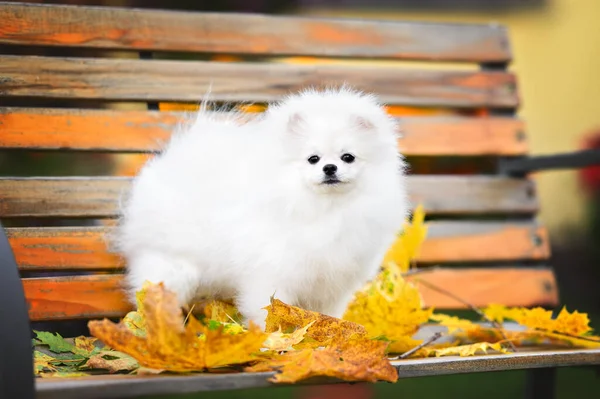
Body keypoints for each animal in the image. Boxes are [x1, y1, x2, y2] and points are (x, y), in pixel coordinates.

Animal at [116, 86, 408, 328]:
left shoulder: (334, 282)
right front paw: (270, 342)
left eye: (348, 157)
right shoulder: (270, 273)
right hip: (172, 267)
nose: (329, 168)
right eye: (313, 159)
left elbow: (328, 314)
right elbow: (267, 311)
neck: (327, 208)